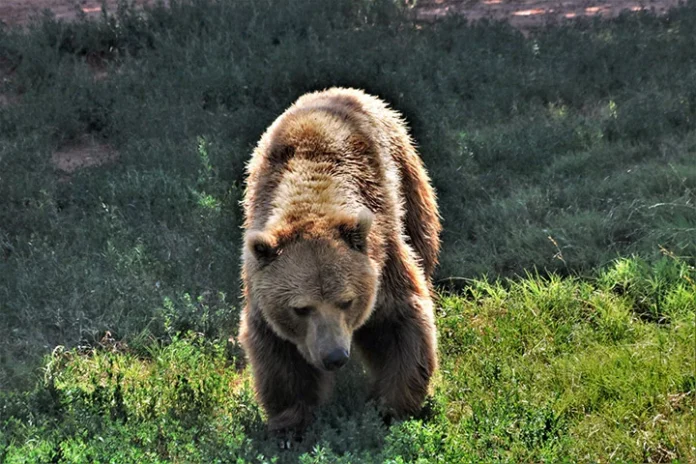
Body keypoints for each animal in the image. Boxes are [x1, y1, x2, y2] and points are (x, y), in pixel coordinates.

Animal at [238, 87, 441, 433]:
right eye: (301, 308)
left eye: (347, 301)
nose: (334, 357)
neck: (311, 198)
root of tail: (338, 90)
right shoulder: (259, 279)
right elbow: (278, 352)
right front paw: (291, 423)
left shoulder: (383, 255)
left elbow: (399, 321)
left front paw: (390, 406)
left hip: (406, 176)